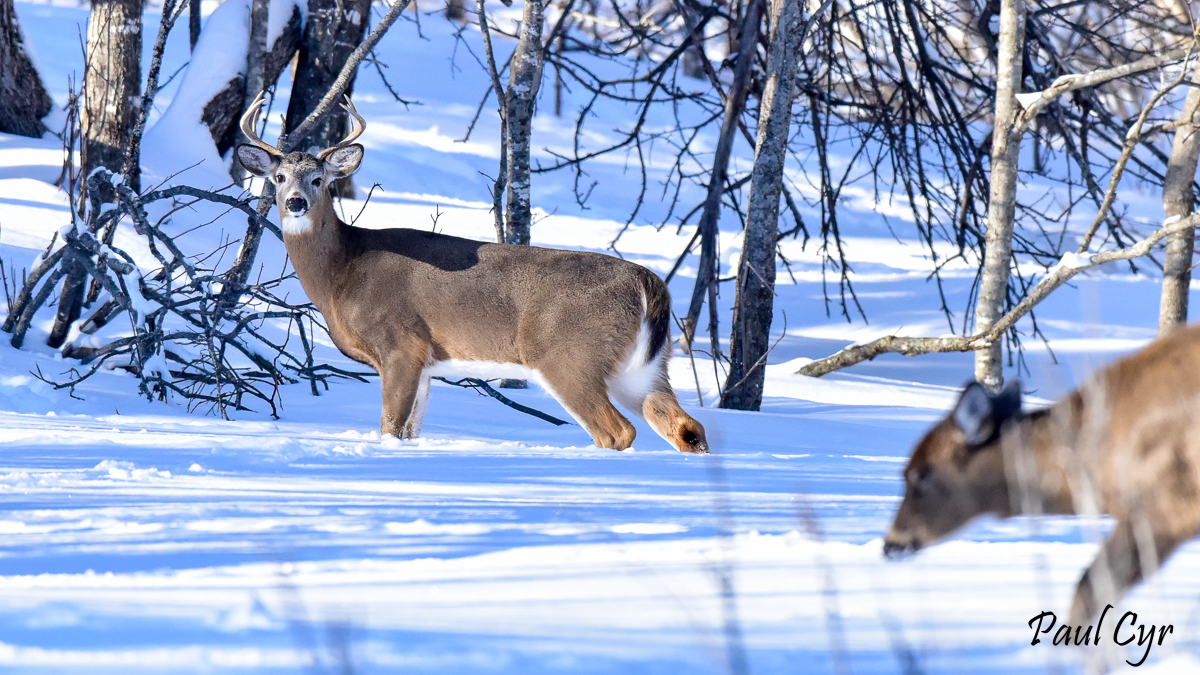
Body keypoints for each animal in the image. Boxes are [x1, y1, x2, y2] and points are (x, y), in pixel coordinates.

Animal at [234, 94, 708, 454]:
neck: (342, 274)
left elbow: (389, 428)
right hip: (645, 368)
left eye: (318, 178)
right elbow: (410, 431)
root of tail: (648, 282)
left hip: (569, 355)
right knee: (686, 428)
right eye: (279, 176)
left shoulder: (400, 342)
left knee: (617, 431)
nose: (295, 202)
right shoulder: (427, 363)